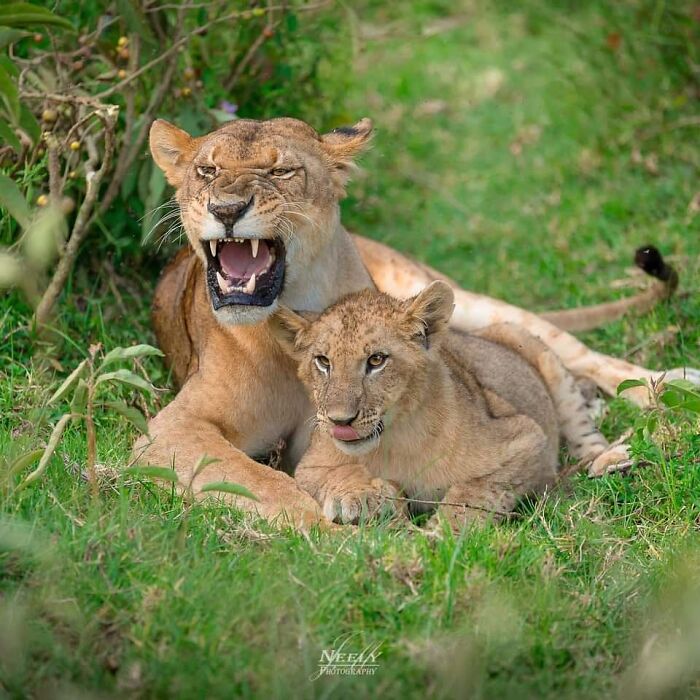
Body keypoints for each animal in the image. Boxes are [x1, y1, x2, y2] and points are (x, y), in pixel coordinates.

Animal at [272, 282, 631, 526]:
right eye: (323, 362)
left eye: (376, 360)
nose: (340, 420)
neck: (393, 441)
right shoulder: (308, 467)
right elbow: (337, 473)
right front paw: (359, 496)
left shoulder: (527, 439)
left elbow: (473, 493)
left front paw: (440, 537)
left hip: (541, 355)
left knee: (582, 427)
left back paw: (608, 460)